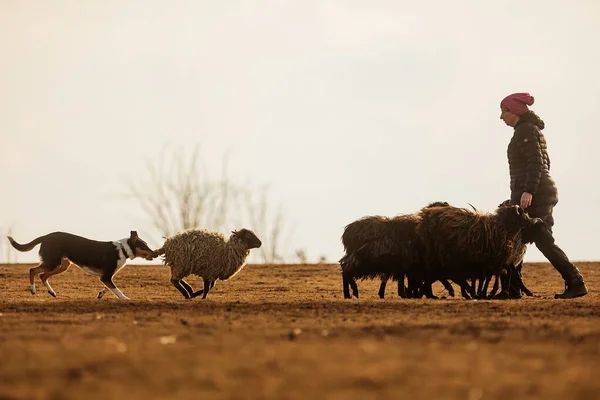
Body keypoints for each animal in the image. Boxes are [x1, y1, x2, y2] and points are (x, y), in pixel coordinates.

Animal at [7, 230, 156, 298]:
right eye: (145, 246)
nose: (156, 253)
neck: (123, 250)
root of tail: (45, 236)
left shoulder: (105, 277)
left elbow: (109, 288)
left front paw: (100, 294)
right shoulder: (106, 276)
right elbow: (117, 291)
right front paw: (126, 299)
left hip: (63, 265)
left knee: (43, 275)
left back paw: (52, 292)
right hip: (52, 263)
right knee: (32, 270)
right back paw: (33, 290)